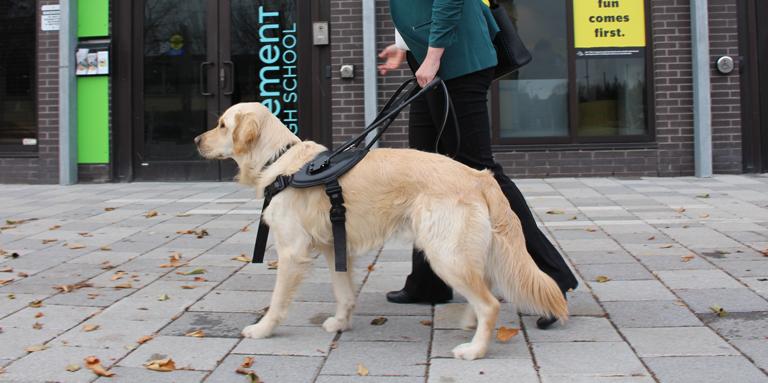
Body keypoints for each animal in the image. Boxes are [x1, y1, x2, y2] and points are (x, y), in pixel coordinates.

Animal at [195, 102, 568, 360]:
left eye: (222, 124)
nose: (197, 139)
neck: (280, 161)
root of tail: (479, 176)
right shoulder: (334, 247)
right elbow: (344, 292)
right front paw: (340, 323)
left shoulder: (292, 251)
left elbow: (276, 301)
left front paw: (262, 329)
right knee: (485, 291)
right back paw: (469, 324)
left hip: (444, 253)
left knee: (489, 303)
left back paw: (474, 349)